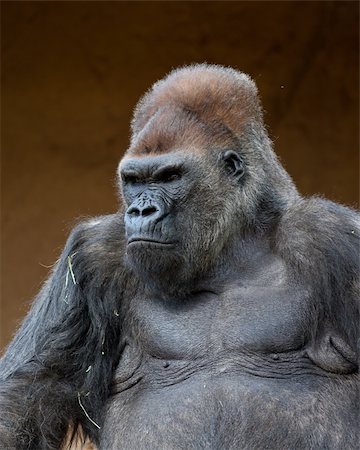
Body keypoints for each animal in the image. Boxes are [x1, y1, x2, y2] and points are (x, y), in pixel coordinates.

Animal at [0, 64, 360, 450]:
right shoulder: (93, 256)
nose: (141, 211)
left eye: (170, 176)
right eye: (134, 180)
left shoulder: (333, 237)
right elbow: (27, 391)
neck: (227, 255)